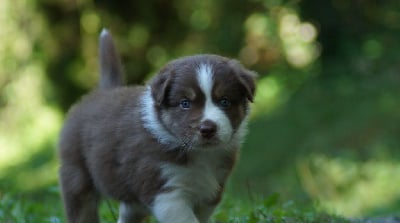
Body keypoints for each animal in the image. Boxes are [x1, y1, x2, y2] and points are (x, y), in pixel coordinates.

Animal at [58, 28, 256, 222]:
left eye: (224, 101)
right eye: (185, 103)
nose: (208, 129)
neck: (199, 154)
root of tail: (103, 91)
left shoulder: (211, 191)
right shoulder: (165, 190)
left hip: (133, 201)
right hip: (77, 177)